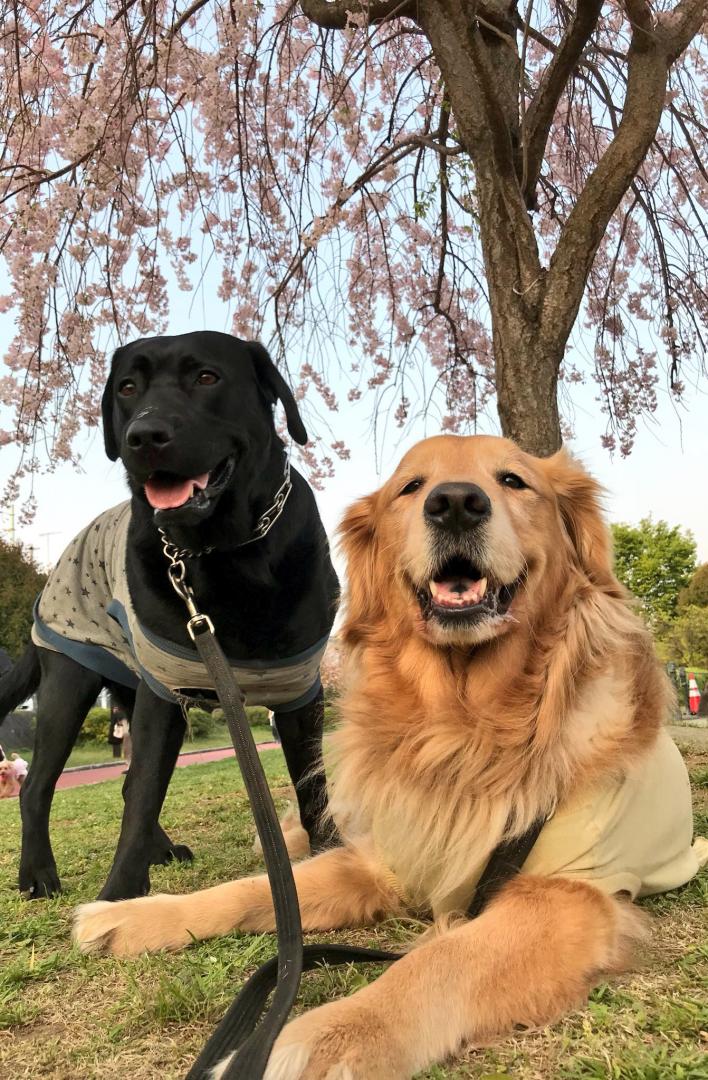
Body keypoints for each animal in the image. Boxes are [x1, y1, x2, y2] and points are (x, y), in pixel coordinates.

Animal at [0, 330, 336, 902]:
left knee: (124, 781)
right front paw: (117, 896)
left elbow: (313, 787)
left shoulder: (299, 693)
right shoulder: (164, 694)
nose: (143, 436)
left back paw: (160, 852)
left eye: (206, 377)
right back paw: (39, 875)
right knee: (40, 786)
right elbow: (141, 799)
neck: (224, 552)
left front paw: (337, 857)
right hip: (70, 682)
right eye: (127, 387)